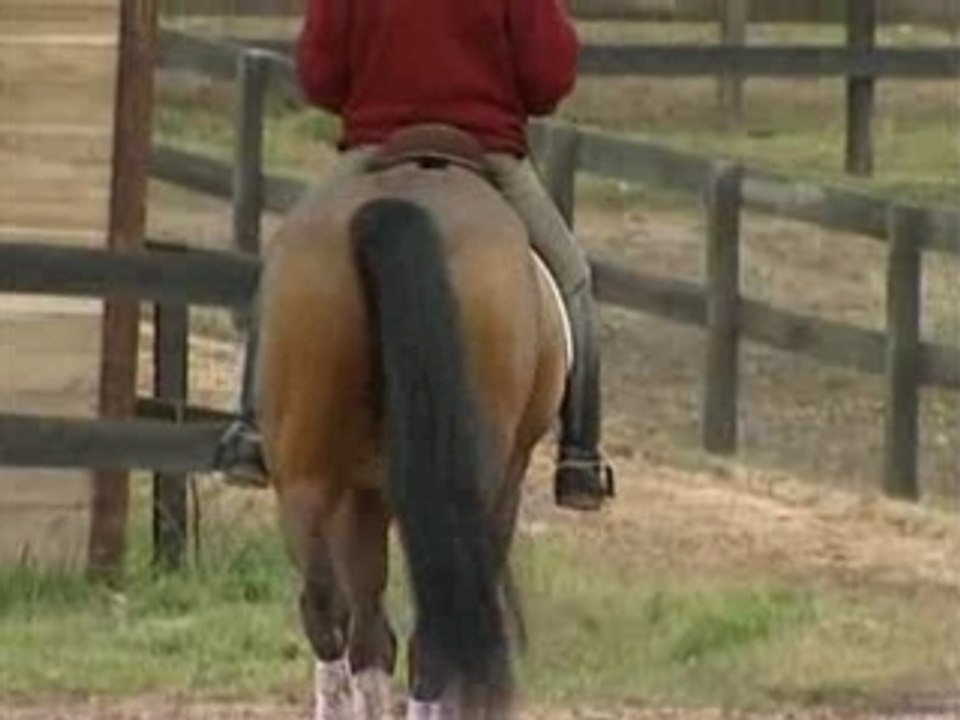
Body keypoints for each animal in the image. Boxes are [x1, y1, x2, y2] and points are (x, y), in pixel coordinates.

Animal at [253, 126, 570, 719]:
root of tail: (400, 205)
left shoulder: (361, 492)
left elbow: (369, 630)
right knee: (430, 631)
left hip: (307, 474)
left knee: (331, 611)